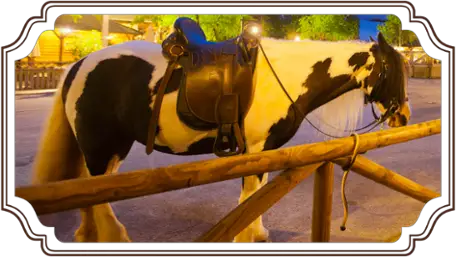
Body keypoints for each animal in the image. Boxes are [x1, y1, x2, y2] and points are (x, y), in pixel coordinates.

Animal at [30, 30, 412, 242]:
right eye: (393, 68)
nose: (403, 116)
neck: (286, 76)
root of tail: (79, 65)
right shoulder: (256, 149)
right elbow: (250, 196)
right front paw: (248, 236)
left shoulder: (261, 151)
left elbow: (253, 195)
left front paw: (255, 233)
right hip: (102, 148)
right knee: (98, 197)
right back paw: (113, 236)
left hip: (107, 151)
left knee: (89, 191)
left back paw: (88, 234)